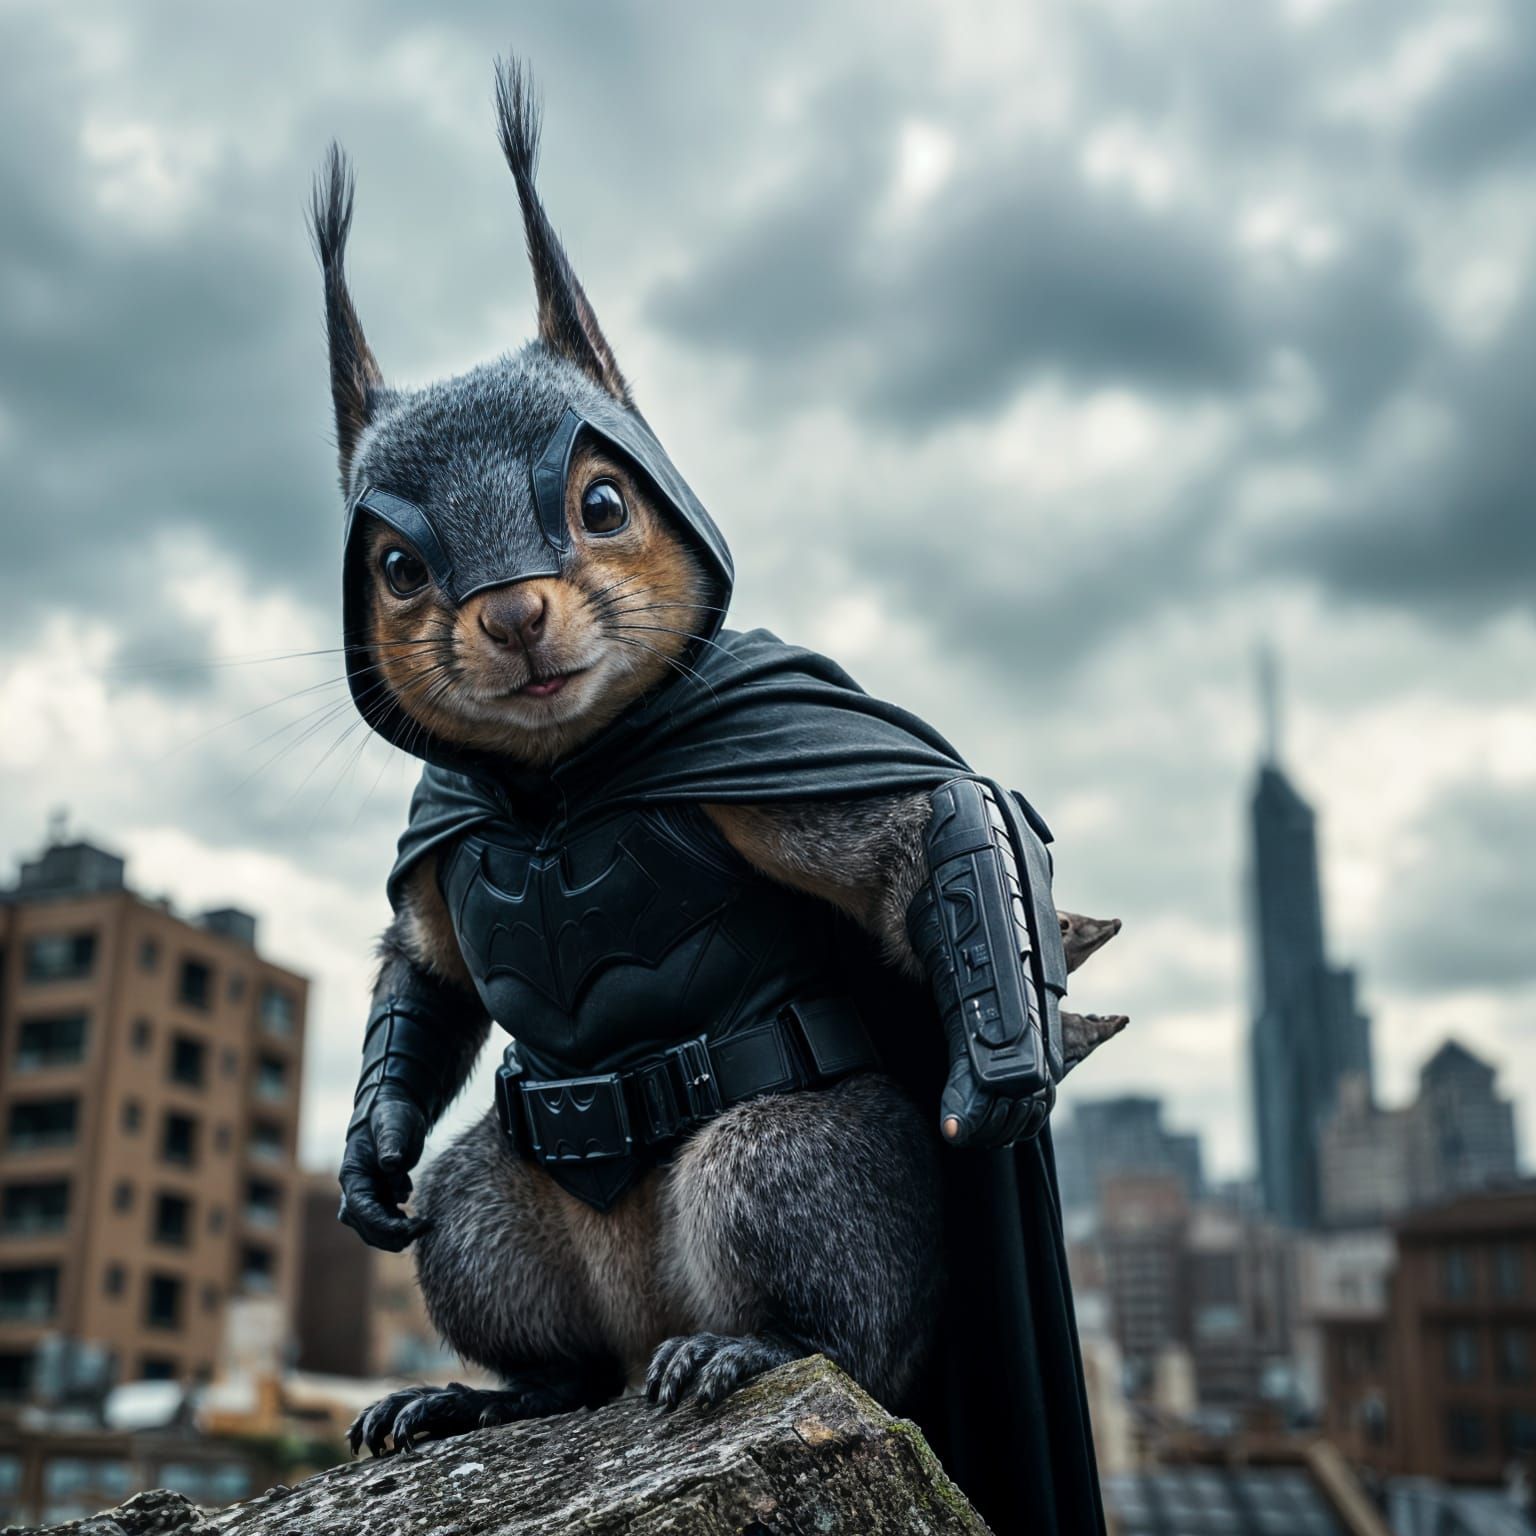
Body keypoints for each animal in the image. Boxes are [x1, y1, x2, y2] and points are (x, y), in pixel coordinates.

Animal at [311, 58, 1123, 1529]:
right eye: (396, 568)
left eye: (603, 503)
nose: (511, 617)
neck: (560, 778)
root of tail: (652, 1321)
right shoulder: (443, 829)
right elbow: (427, 972)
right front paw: (367, 1161)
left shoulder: (784, 752)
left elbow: (934, 830)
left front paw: (1002, 1077)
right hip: (496, 1220)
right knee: (525, 1306)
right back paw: (484, 1395)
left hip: (790, 1172)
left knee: (843, 1310)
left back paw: (753, 1348)